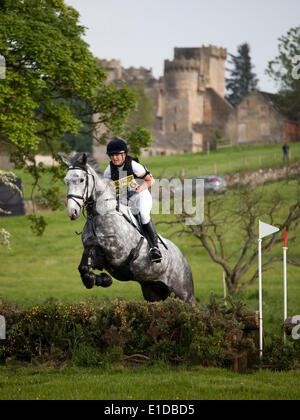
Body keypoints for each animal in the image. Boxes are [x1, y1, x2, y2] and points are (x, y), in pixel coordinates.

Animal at [62, 153, 196, 304]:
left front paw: (102, 279)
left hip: (185, 294)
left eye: (81, 179)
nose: (72, 212)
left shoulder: (118, 249)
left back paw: (156, 252)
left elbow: (94, 241)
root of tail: (184, 259)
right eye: (66, 181)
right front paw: (101, 279)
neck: (97, 215)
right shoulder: (96, 255)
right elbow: (84, 266)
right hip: (153, 293)